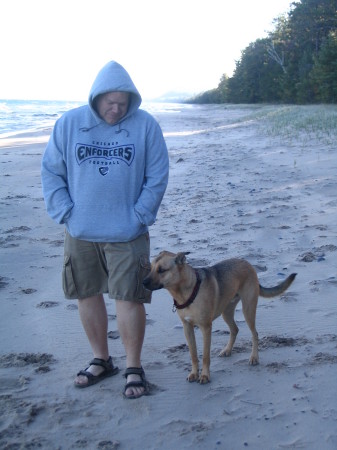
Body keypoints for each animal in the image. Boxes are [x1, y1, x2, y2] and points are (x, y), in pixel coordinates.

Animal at [143, 251, 296, 384]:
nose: (143, 282)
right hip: (226, 312)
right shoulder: (187, 327)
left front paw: (205, 375)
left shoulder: (206, 327)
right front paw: (194, 373)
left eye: (161, 270)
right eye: (151, 268)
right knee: (235, 330)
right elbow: (193, 354)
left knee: (255, 334)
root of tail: (248, 264)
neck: (186, 291)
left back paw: (254, 357)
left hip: (248, 309)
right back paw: (227, 350)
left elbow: (205, 356)